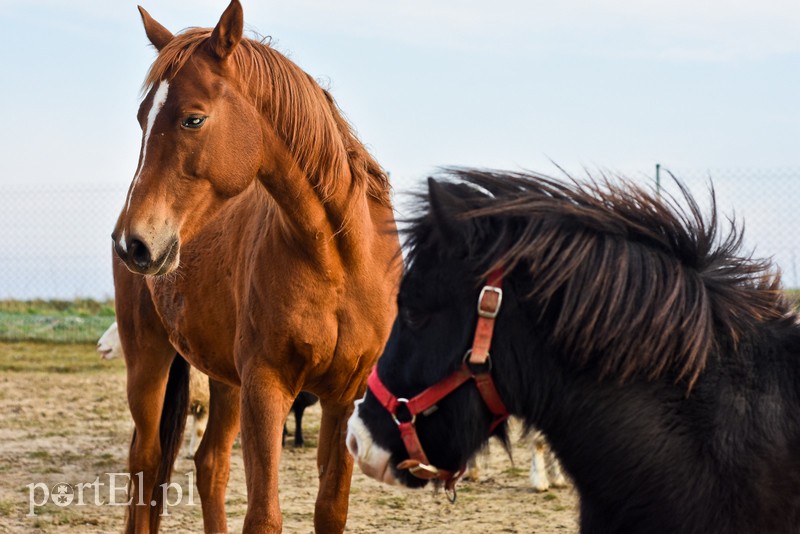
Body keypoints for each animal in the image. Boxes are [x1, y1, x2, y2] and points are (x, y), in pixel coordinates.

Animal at [112, 2, 400, 532]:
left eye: (193, 119)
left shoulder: (344, 399)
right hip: (148, 360)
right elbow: (264, 515)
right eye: (142, 117)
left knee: (210, 465)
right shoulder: (266, 389)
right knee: (145, 464)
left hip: (225, 380)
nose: (133, 244)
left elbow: (330, 510)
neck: (339, 261)